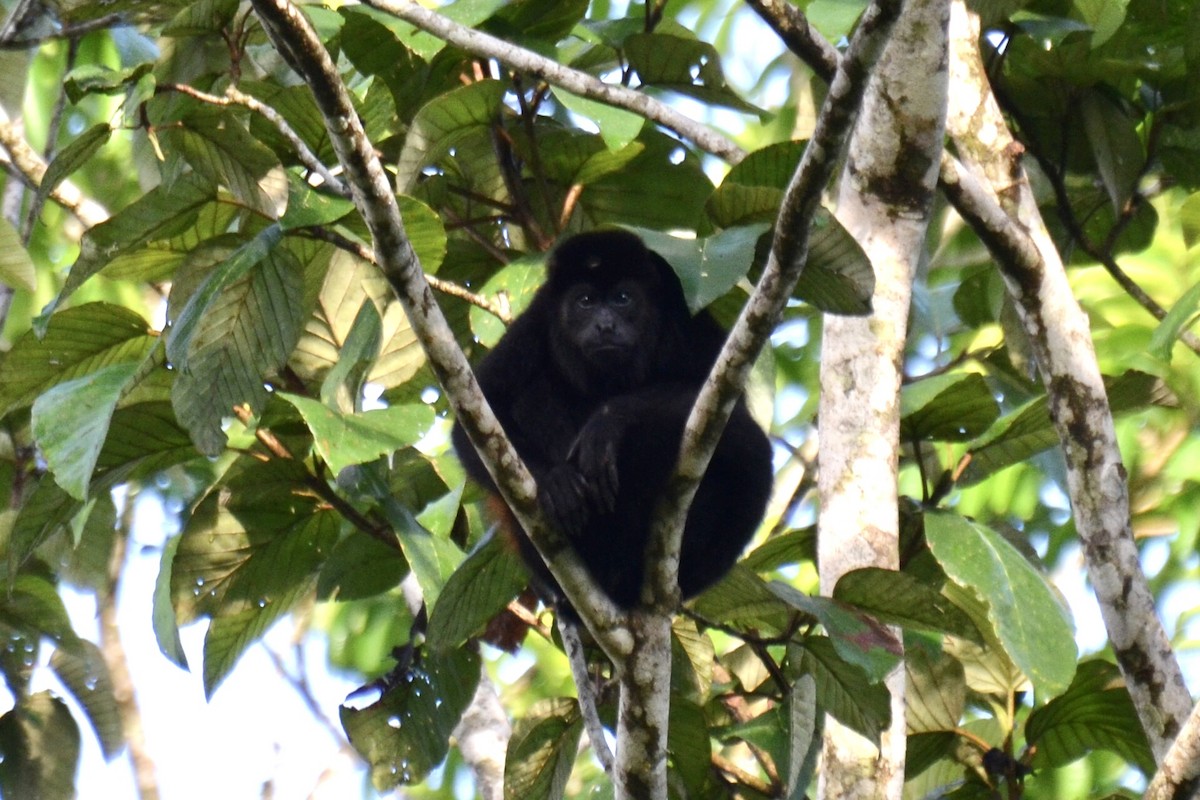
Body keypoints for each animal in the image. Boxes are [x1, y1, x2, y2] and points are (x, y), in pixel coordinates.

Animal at [452, 229, 773, 612]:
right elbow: (476, 418)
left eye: (622, 298)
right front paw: (554, 480)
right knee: (535, 391)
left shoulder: (683, 315)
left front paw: (609, 422)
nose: (605, 325)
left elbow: (726, 407)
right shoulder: (536, 321)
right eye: (585, 301)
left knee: (751, 447)